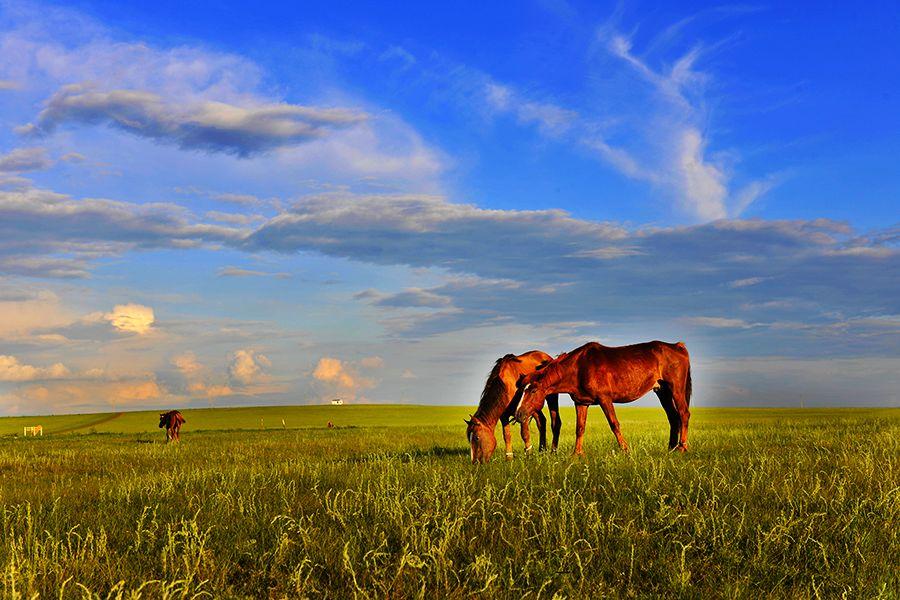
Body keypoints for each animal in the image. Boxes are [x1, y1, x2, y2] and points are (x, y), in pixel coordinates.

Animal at [516, 342, 692, 454]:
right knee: (673, 417)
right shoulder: (581, 402)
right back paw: (671, 448)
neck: (579, 367)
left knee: (683, 414)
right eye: (521, 390)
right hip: (662, 391)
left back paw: (682, 448)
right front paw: (577, 454)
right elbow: (580, 428)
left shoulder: (605, 399)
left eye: (533, 390)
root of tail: (678, 346)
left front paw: (625, 450)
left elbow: (614, 424)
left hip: (675, 389)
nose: (518, 414)